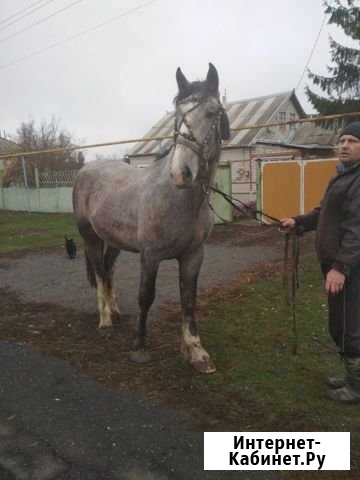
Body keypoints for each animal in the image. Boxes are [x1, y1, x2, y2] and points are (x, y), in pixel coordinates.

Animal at [73, 62, 231, 372]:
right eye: (178, 116)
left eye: (211, 112)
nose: (181, 172)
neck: (179, 199)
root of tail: (86, 171)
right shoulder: (150, 255)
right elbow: (146, 297)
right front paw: (139, 347)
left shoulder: (193, 255)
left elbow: (188, 299)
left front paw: (196, 351)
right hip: (91, 238)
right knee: (98, 272)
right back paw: (105, 319)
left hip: (115, 242)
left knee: (108, 270)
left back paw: (115, 310)